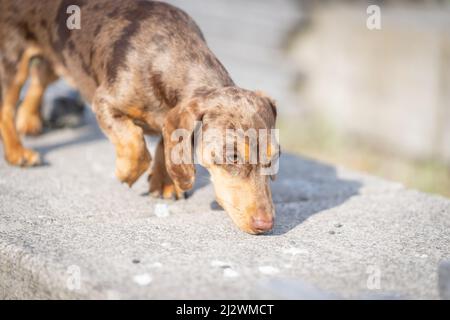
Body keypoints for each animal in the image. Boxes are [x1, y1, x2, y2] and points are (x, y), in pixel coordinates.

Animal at [0, 0, 280, 235]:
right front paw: (127, 172)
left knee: (39, 80)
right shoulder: (104, 101)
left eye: (274, 157)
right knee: (7, 106)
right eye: (232, 157)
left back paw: (29, 120)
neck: (166, 56)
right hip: (14, 57)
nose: (266, 225)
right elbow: (135, 144)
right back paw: (17, 152)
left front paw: (164, 183)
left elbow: (164, 144)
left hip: (58, 56)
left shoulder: (169, 118)